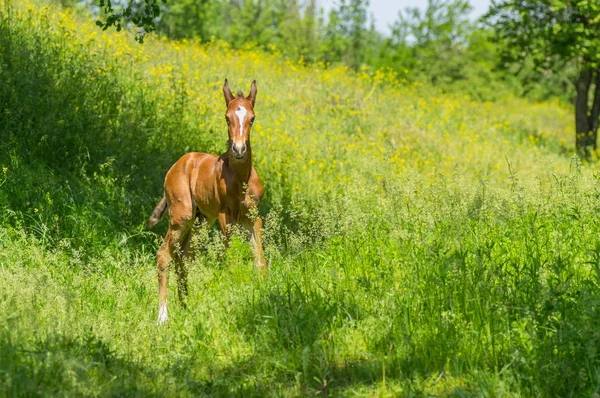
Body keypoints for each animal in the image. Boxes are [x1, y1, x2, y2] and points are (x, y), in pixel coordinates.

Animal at [147, 79, 264, 324]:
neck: (241, 179)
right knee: (164, 255)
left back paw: (186, 309)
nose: (238, 149)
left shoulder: (253, 218)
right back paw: (163, 317)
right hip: (182, 216)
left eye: (252, 118)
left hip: (202, 221)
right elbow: (232, 260)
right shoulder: (226, 218)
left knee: (184, 257)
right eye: (227, 117)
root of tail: (176, 165)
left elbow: (260, 260)